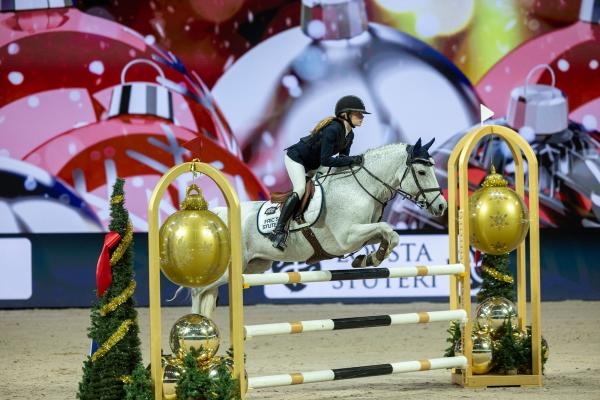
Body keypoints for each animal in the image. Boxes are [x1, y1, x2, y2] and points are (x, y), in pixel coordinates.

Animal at [190, 139, 448, 318]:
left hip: (254, 267)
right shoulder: (347, 237)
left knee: (207, 295)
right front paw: (372, 258)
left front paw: (368, 259)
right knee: (198, 292)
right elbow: (386, 228)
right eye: (422, 171)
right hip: (230, 270)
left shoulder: (363, 233)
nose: (442, 206)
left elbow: (390, 235)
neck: (360, 188)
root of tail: (220, 217)